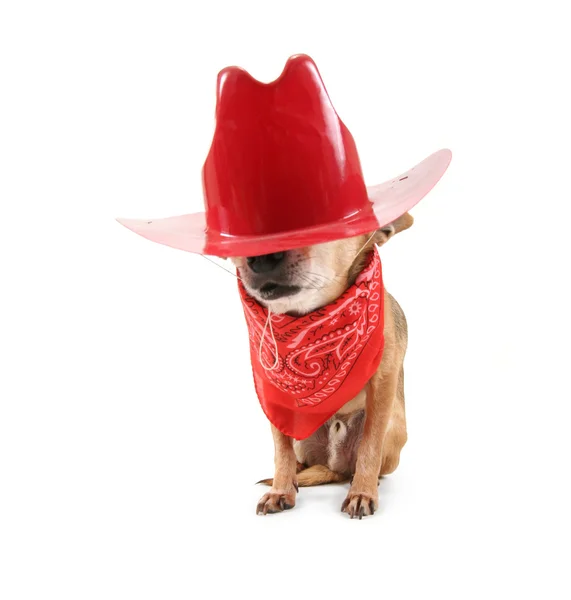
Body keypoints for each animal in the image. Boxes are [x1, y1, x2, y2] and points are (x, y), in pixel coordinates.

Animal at [230, 212, 414, 516]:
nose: (259, 257)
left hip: (394, 428)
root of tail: (335, 467)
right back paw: (296, 474)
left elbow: (370, 447)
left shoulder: (383, 384)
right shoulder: (274, 396)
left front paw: (362, 493)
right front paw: (280, 489)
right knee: (300, 459)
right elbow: (281, 450)